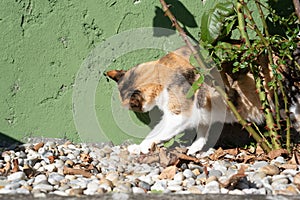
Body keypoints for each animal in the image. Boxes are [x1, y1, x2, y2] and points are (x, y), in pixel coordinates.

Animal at [106, 46, 300, 155]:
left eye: (134, 106)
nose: (135, 113)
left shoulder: (179, 115)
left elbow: (158, 133)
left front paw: (144, 146)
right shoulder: (201, 113)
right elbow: (201, 132)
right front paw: (194, 148)